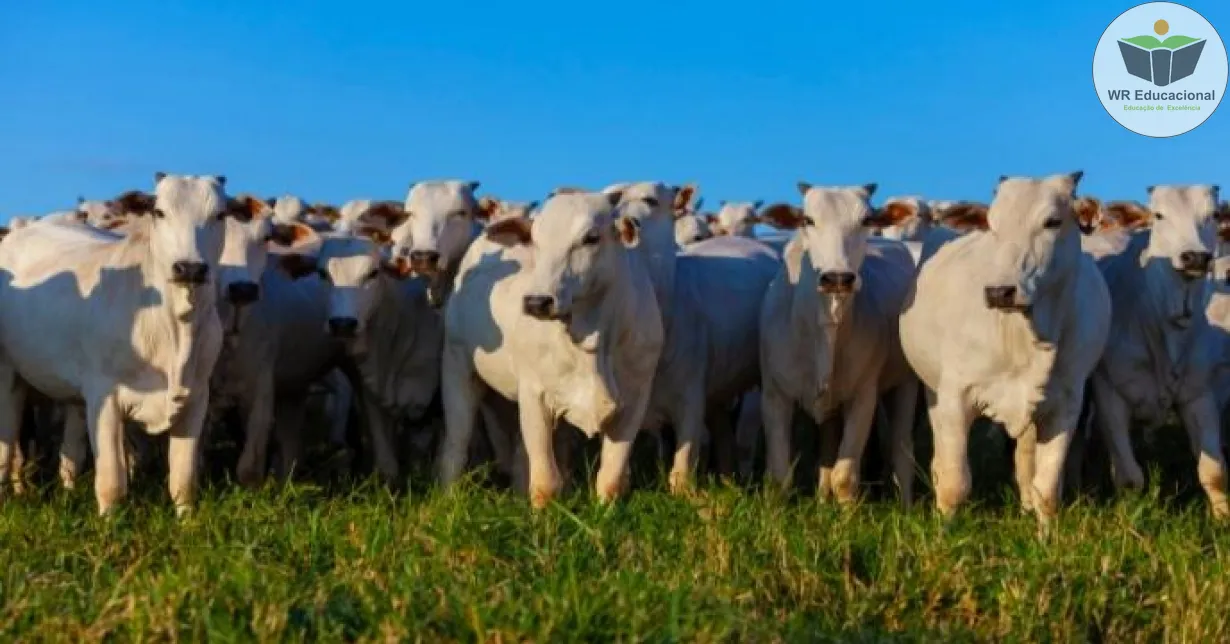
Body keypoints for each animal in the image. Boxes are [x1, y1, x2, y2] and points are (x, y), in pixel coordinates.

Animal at [0, 173, 234, 516]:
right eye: (159, 212)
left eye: (220, 214)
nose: (189, 268)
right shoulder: (105, 395)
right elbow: (112, 480)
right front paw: (109, 522)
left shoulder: (196, 397)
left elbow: (183, 480)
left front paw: (188, 522)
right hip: (9, 374)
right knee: (6, 445)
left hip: (73, 397)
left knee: (70, 453)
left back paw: (68, 492)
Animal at [440, 191, 664, 508]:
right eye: (535, 240)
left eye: (591, 238)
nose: (537, 302)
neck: (591, 340)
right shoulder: (535, 395)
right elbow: (546, 481)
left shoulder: (635, 399)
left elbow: (611, 478)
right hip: (457, 367)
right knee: (456, 443)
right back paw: (449, 495)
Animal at [757, 180, 924, 503]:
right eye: (808, 220)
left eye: (867, 220)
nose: (837, 278)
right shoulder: (774, 395)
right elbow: (781, 475)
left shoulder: (863, 396)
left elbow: (844, 476)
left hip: (905, 385)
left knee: (901, 449)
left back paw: (906, 505)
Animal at [900, 172, 1111, 523]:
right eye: (992, 224)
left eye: (1052, 222)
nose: (1000, 292)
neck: (1024, 339)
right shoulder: (955, 397)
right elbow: (955, 483)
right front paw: (944, 531)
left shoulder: (1066, 405)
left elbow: (1046, 490)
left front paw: (1045, 534)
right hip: (932, 392)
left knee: (1025, 463)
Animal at [1092, 183, 1225, 516]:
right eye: (1159, 215)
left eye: (1214, 214)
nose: (1195, 257)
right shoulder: (1109, 393)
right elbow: (1129, 477)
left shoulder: (1198, 395)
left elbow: (1213, 472)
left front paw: (1222, 519)